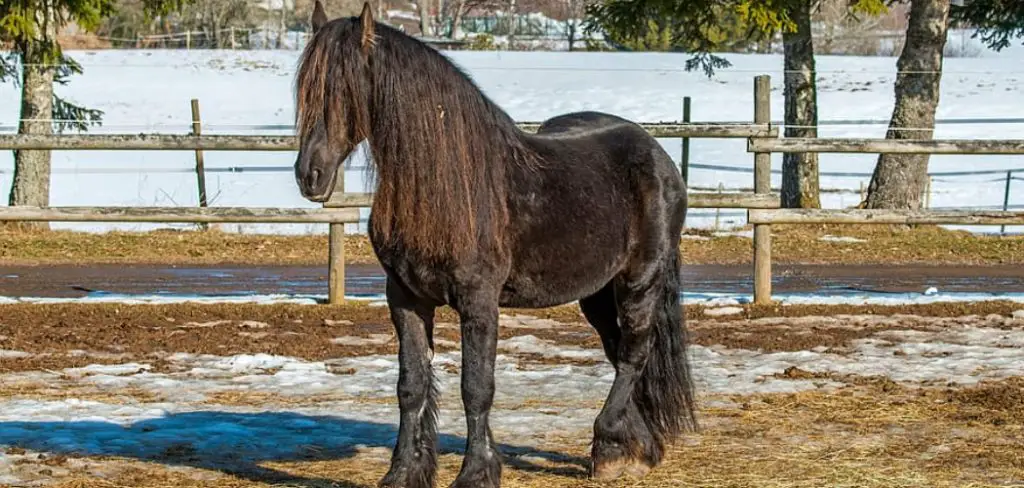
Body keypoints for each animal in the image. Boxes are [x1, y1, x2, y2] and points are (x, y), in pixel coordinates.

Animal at [292, 1, 700, 484]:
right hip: (597, 293)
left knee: (634, 354)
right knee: (619, 353)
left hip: (640, 280)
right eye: (306, 89)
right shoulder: (406, 298)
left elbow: (476, 388)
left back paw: (609, 447)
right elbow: (411, 386)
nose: (309, 175)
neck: (448, 186)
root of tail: (657, 154)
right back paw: (634, 448)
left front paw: (475, 473)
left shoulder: (479, 302)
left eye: (345, 87)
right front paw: (403, 472)